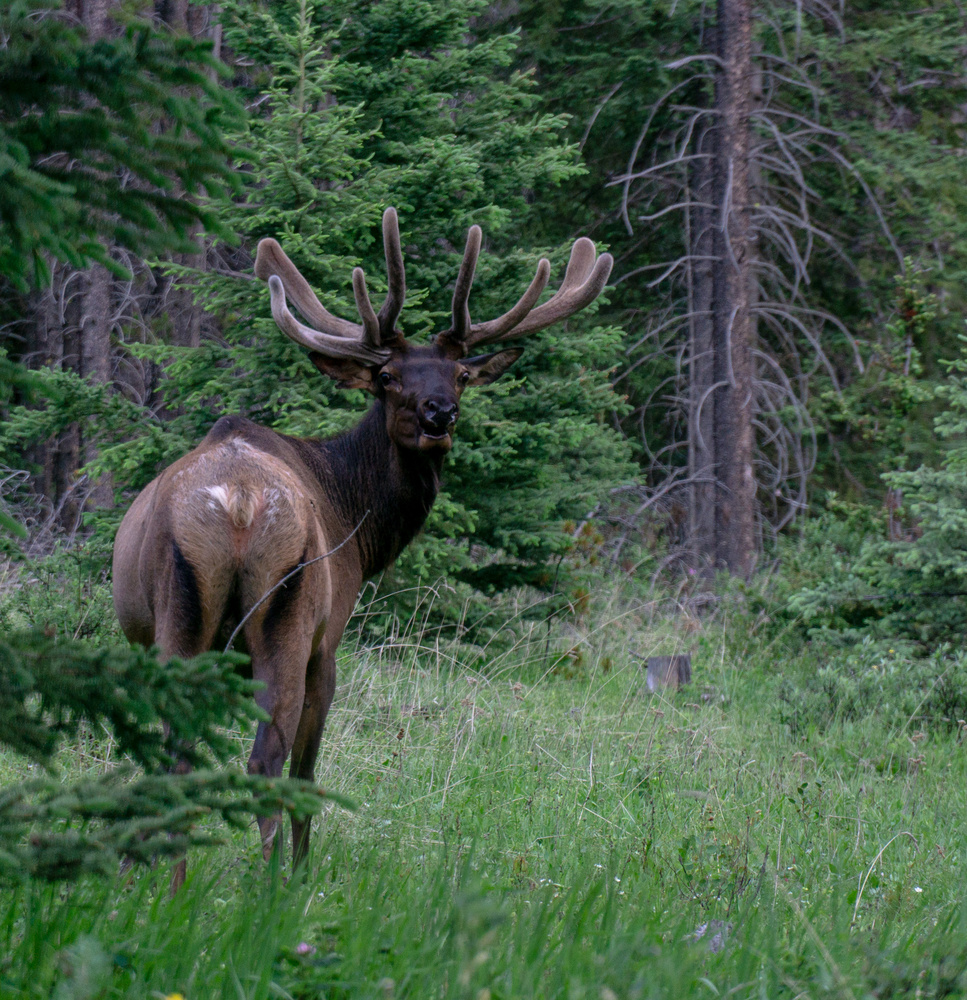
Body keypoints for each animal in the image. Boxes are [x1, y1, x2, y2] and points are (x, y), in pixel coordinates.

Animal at [112, 208, 612, 877]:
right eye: (387, 376)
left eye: (461, 374)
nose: (438, 414)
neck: (359, 517)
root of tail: (240, 502)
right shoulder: (332, 636)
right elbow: (305, 769)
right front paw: (301, 870)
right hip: (290, 619)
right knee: (267, 760)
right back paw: (269, 883)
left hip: (182, 620)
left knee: (176, 755)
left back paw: (165, 878)